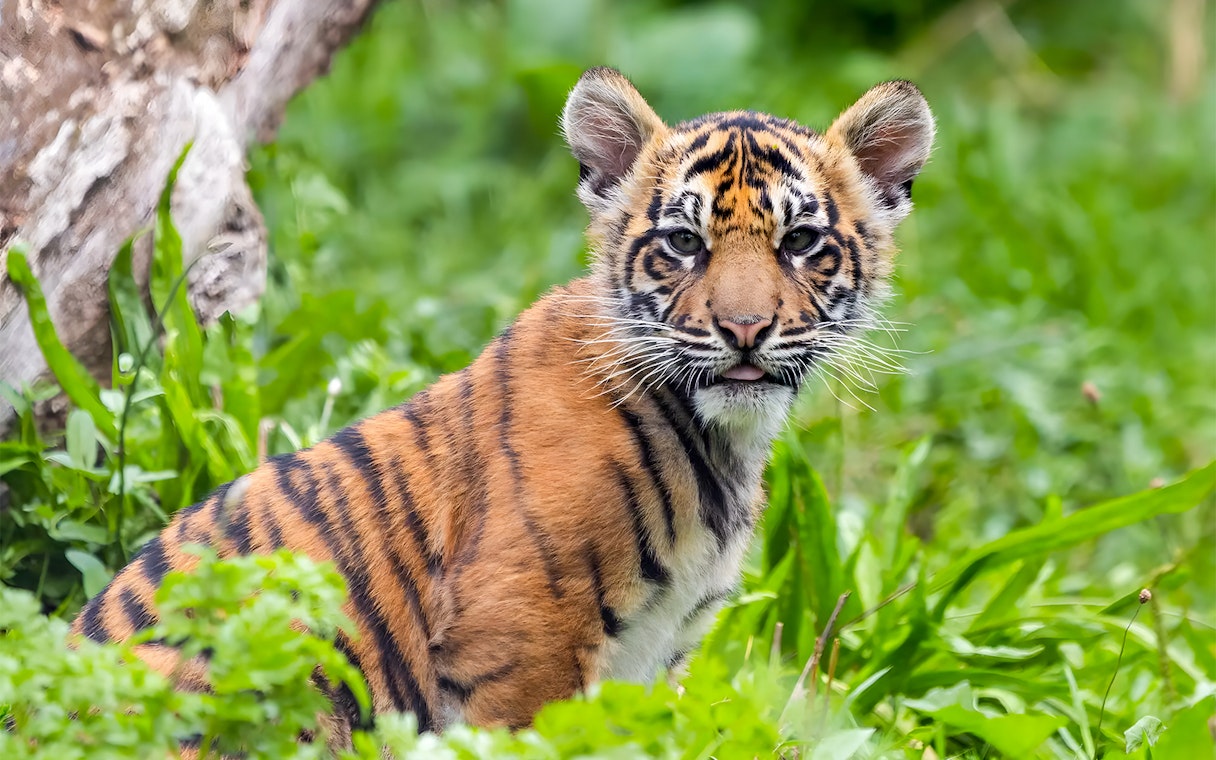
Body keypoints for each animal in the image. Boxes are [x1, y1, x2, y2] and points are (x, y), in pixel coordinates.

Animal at [71, 66, 934, 742]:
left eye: (800, 242)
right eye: (684, 244)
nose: (745, 329)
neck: (722, 442)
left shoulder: (658, 655)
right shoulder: (521, 637)